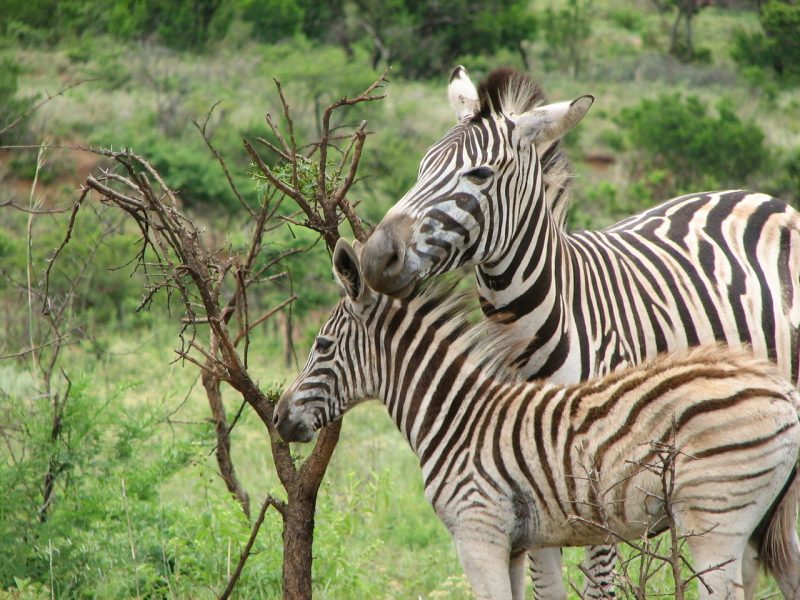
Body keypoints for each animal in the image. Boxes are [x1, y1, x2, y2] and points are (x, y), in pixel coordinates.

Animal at [274, 238, 800, 600]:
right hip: (761, 519)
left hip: (711, 517)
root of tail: (783, 390)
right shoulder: (512, 545)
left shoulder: (478, 533)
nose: (278, 417)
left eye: (322, 346)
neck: (457, 418)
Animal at [360, 67, 800, 600]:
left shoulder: (596, 479)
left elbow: (597, 586)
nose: (375, 257)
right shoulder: (529, 481)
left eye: (480, 175)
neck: (524, 337)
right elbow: (546, 585)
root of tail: (761, 197)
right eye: (423, 165)